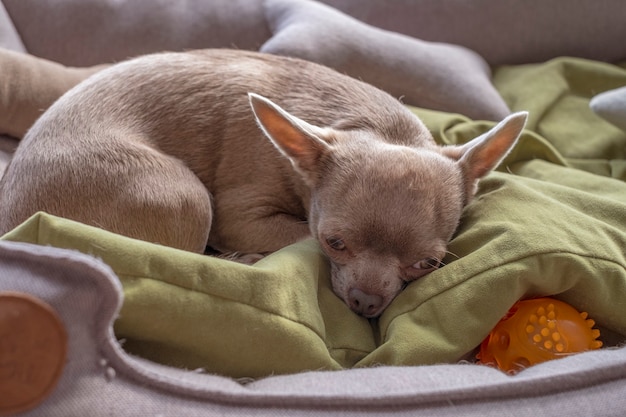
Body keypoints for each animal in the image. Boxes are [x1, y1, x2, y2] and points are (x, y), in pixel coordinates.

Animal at [0, 48, 528, 316]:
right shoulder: (240, 215)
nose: (365, 302)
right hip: (184, 197)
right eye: (334, 242)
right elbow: (292, 233)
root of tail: (14, 224)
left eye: (427, 264)